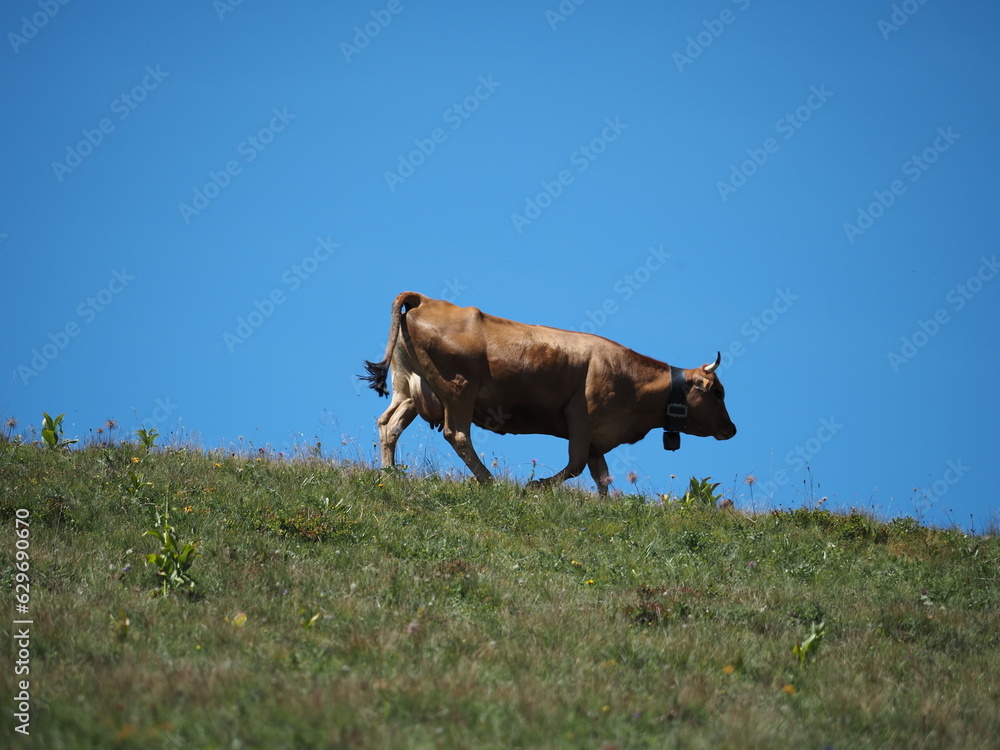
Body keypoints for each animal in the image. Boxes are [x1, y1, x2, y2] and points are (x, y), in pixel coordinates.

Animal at [361, 291, 736, 495]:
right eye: (718, 392)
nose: (731, 429)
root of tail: (425, 300)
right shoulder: (582, 416)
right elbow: (577, 464)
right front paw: (536, 486)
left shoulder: (598, 436)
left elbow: (601, 475)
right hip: (458, 388)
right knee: (457, 434)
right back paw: (489, 481)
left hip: (408, 389)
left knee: (388, 425)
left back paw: (389, 474)